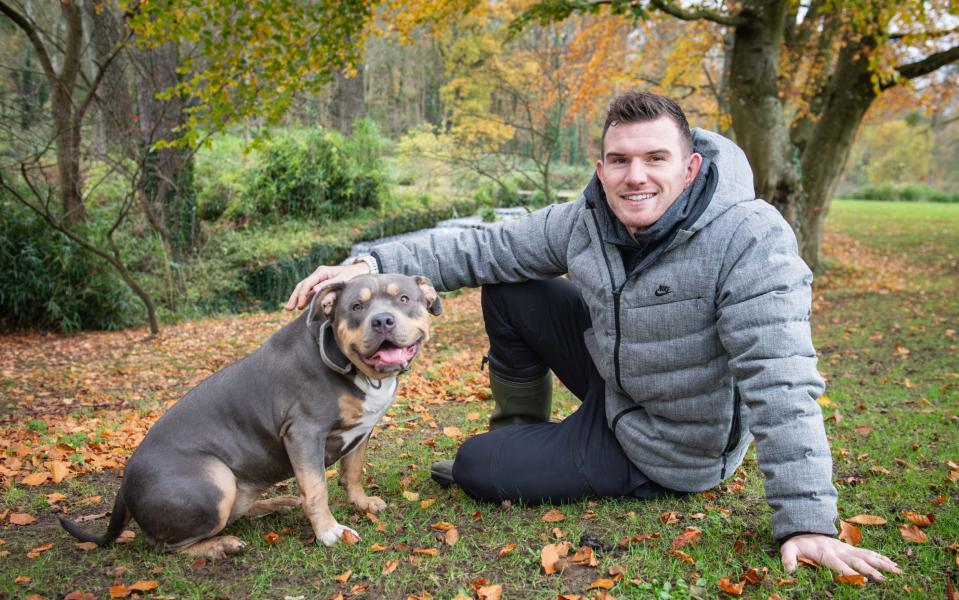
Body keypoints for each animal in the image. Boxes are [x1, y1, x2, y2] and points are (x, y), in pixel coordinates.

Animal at [62, 274, 444, 560]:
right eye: (356, 307)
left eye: (404, 299)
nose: (382, 321)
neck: (356, 369)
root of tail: (125, 483)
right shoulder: (303, 434)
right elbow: (316, 488)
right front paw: (329, 532)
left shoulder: (362, 431)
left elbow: (352, 474)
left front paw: (362, 504)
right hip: (215, 481)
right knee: (165, 545)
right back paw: (220, 546)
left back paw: (277, 503)